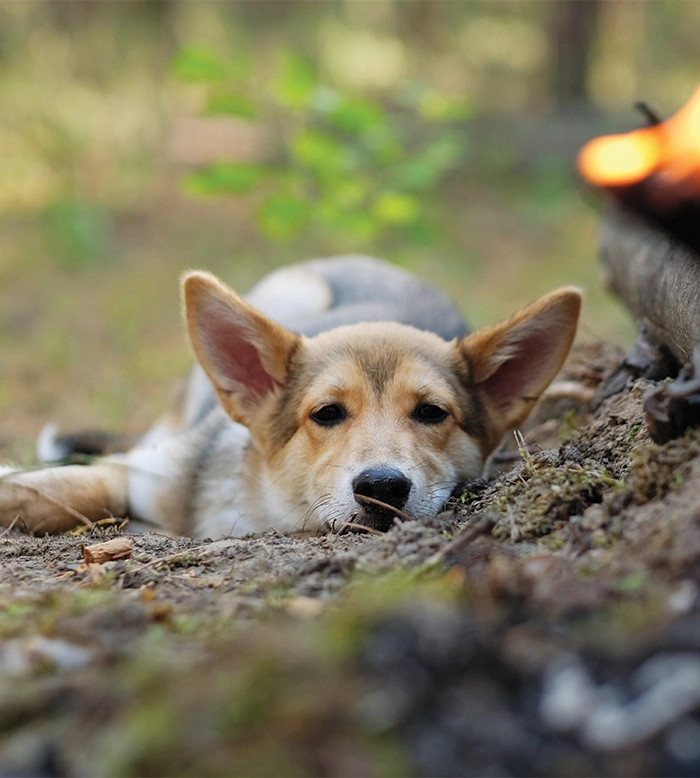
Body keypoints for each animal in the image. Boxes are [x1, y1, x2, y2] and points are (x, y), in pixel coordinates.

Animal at [0, 258, 580, 536]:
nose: (383, 488)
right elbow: (71, 489)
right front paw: (20, 483)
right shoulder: (144, 470)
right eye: (326, 413)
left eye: (432, 412)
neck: (264, 508)